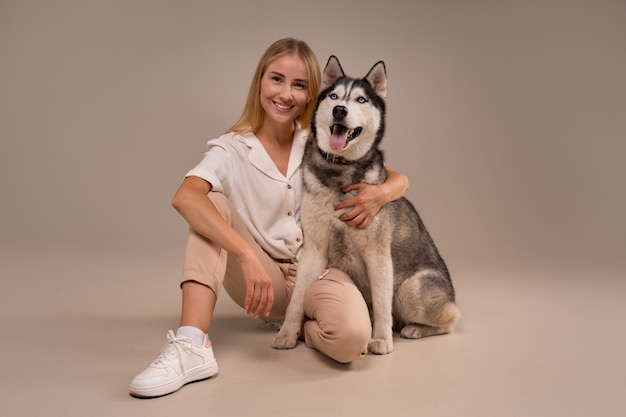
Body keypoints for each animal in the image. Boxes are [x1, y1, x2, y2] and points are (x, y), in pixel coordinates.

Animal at [270, 56, 458, 354]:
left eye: (361, 99)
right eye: (334, 96)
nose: (339, 110)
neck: (340, 171)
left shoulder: (377, 255)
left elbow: (382, 303)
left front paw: (380, 339)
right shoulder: (314, 250)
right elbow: (297, 296)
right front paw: (288, 333)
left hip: (411, 289)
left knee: (450, 320)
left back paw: (415, 328)